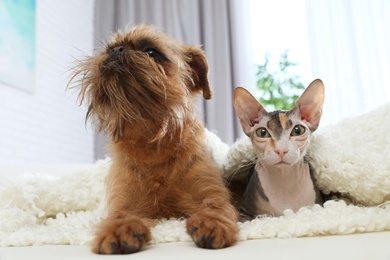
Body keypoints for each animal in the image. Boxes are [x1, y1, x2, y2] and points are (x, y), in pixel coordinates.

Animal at [69, 25, 238, 255]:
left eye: (151, 52)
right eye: (109, 49)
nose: (117, 50)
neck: (152, 144)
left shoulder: (210, 193)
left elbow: (216, 206)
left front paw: (211, 223)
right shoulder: (127, 203)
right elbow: (120, 215)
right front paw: (119, 229)